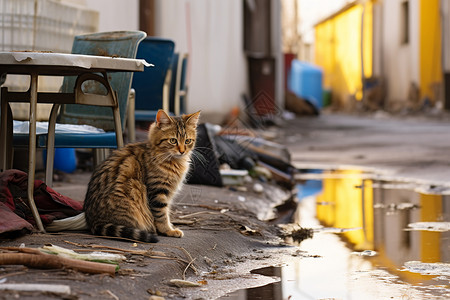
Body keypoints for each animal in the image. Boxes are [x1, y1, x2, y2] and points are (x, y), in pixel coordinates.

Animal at [83, 109, 200, 243]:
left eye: (187, 141)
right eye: (173, 141)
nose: (182, 151)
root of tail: (93, 221)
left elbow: (166, 212)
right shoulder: (158, 192)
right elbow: (162, 215)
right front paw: (168, 230)